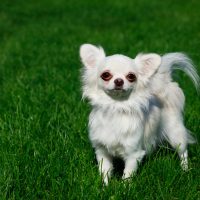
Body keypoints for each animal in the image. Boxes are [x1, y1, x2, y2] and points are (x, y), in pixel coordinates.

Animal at [79, 43, 198, 184]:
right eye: (106, 75)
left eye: (131, 76)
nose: (119, 81)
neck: (116, 106)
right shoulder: (102, 151)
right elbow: (105, 171)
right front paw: (105, 186)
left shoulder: (133, 154)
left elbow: (127, 174)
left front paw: (124, 187)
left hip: (175, 133)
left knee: (183, 151)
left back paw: (185, 170)